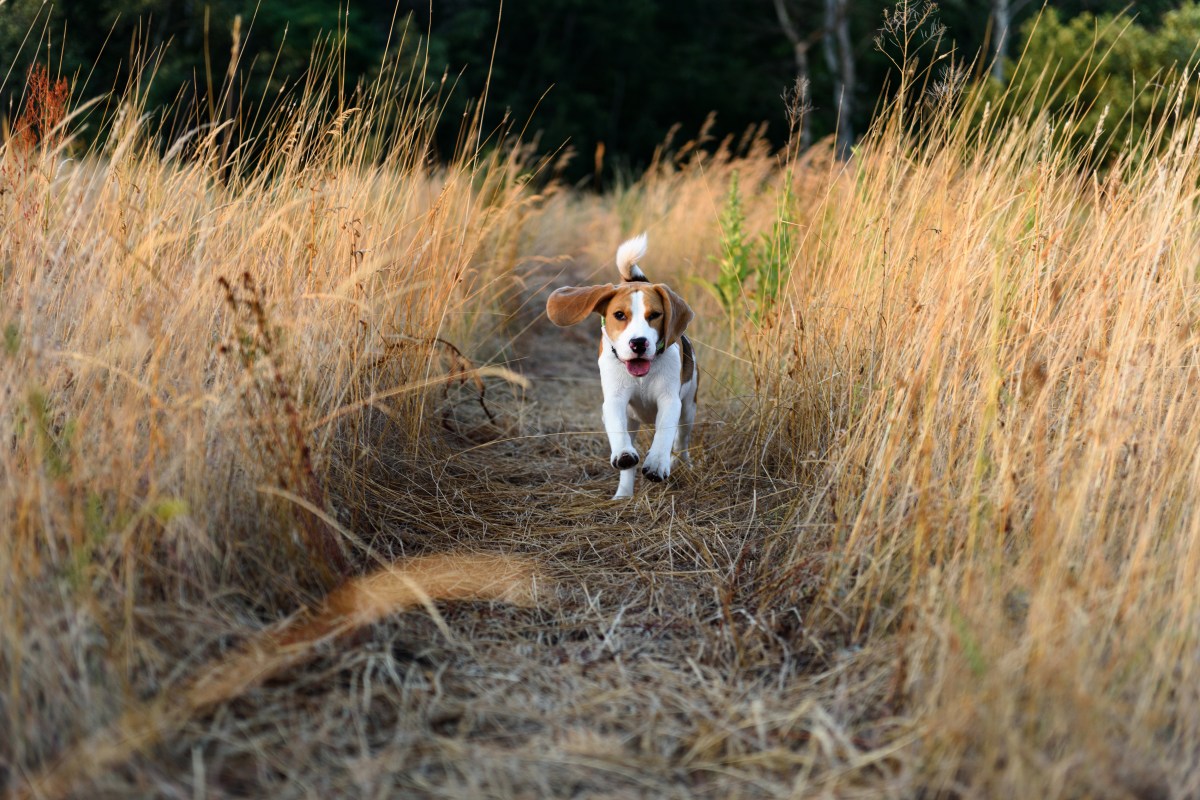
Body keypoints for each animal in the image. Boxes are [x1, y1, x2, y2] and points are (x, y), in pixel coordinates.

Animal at [549, 231, 700, 496]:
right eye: (619, 315)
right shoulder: (614, 400)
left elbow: (664, 433)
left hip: (689, 408)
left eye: (655, 315)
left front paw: (658, 462)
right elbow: (619, 433)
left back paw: (681, 463)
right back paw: (623, 494)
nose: (638, 343)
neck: (642, 376)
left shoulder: (670, 401)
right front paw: (624, 455)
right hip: (633, 419)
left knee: (682, 442)